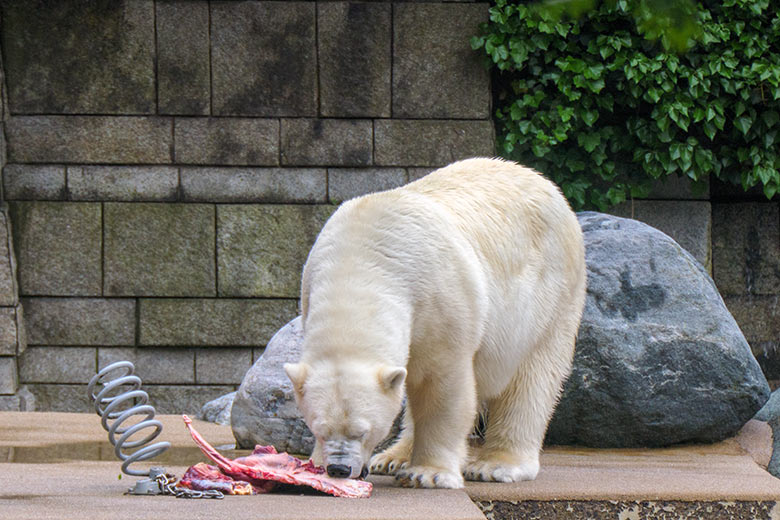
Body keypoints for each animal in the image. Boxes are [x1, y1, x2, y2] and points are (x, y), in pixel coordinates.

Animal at [284, 157, 584, 488]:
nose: (339, 469)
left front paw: (429, 473)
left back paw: (496, 465)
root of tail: (545, 183)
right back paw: (392, 458)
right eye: (319, 429)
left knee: (532, 376)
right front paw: (315, 463)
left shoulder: (439, 299)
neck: (359, 258)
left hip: (551, 296)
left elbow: (440, 385)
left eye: (363, 431)